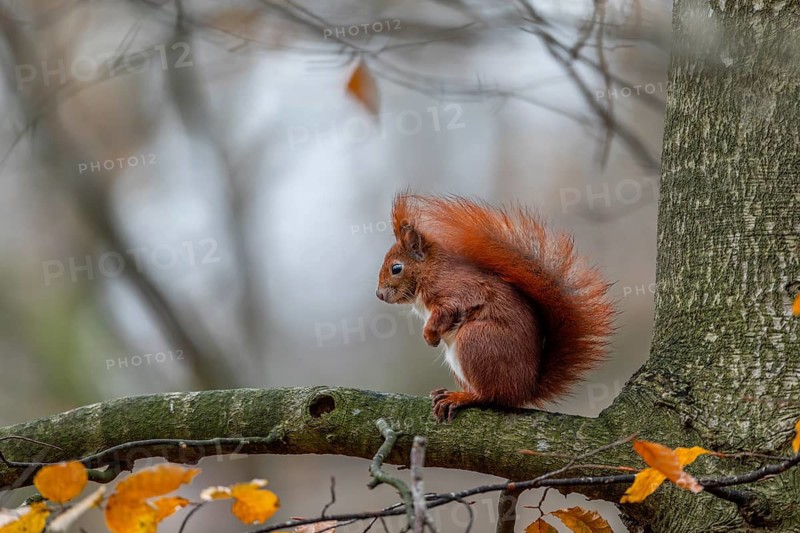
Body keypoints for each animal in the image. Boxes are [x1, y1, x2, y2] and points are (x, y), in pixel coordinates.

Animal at [376, 194, 615, 422]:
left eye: (396, 268)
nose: (379, 294)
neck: (430, 271)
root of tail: (524, 390)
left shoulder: (455, 291)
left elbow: (445, 312)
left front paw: (429, 335)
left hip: (475, 340)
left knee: (490, 396)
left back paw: (461, 397)